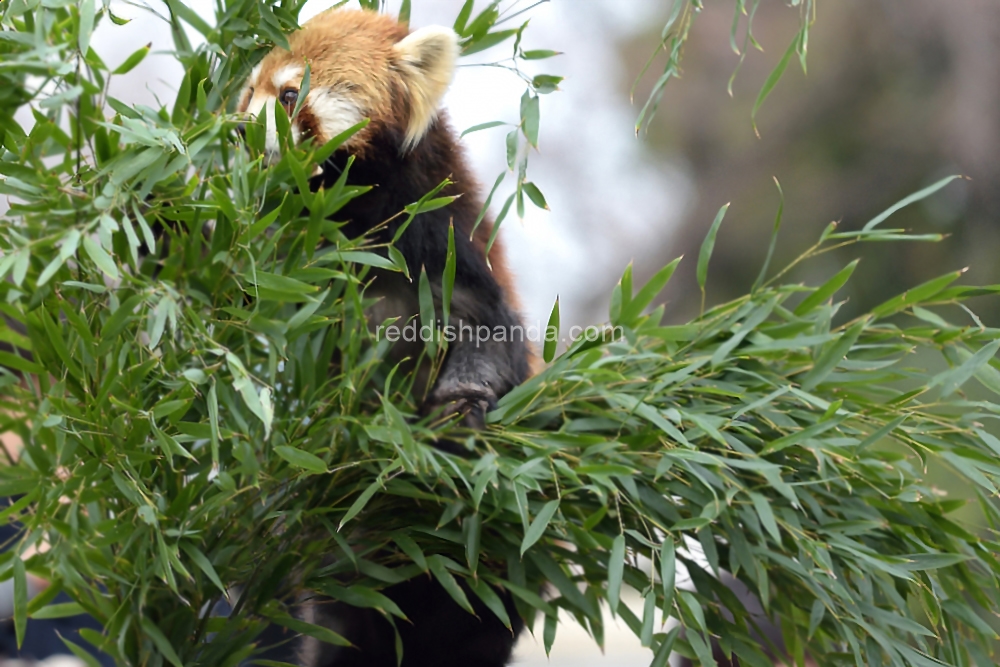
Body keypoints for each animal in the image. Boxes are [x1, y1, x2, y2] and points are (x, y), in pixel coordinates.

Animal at [235, 5, 532, 667]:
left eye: (289, 95)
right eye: (248, 94)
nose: (237, 132)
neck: (353, 218)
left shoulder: (443, 240)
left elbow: (488, 331)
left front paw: (459, 407)